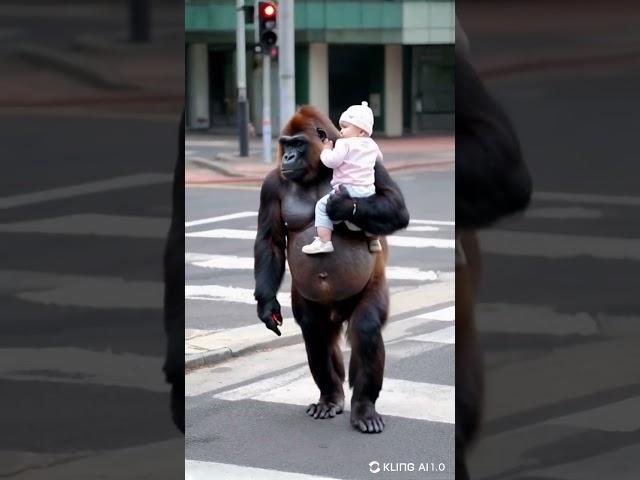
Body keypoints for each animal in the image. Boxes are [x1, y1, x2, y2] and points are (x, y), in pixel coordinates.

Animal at [252, 106, 408, 436]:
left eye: (298, 144)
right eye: (286, 144)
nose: (288, 157)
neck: (316, 173)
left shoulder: (374, 164)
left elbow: (396, 208)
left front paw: (343, 205)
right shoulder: (270, 185)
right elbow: (269, 241)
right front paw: (266, 304)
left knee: (365, 328)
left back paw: (364, 407)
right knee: (315, 331)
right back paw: (330, 395)